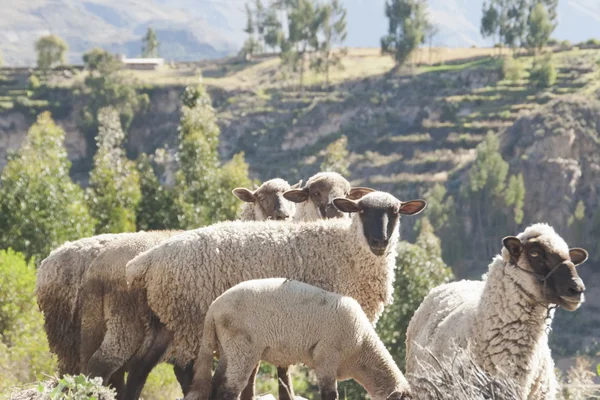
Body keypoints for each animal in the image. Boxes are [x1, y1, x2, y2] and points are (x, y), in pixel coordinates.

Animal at [188, 278, 412, 400]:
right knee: (228, 390)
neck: (362, 352)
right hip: (241, 346)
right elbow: (330, 395)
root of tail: (213, 309)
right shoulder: (326, 357)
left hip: (229, 348)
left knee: (216, 384)